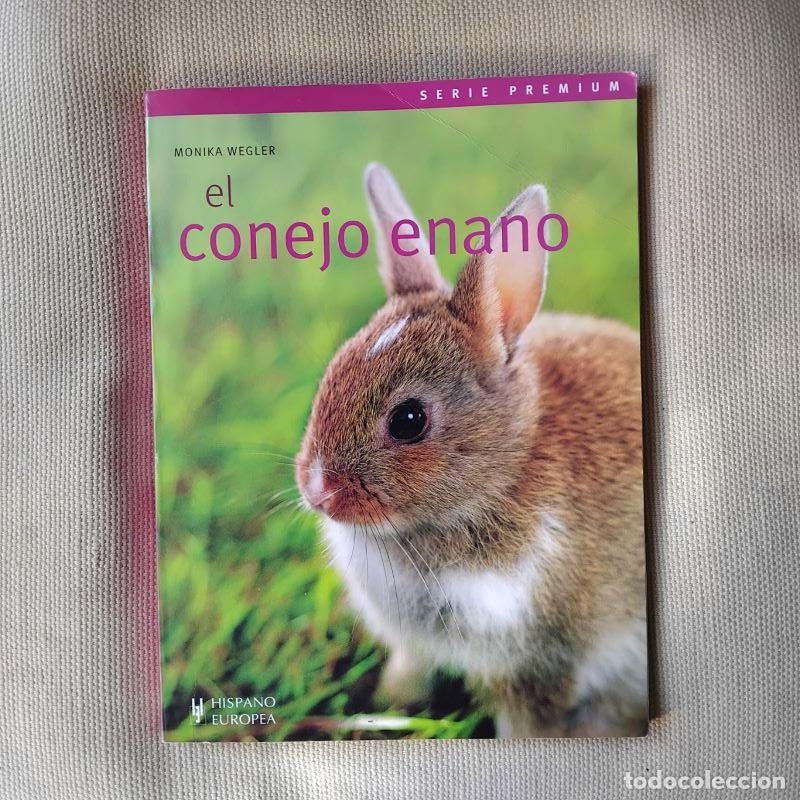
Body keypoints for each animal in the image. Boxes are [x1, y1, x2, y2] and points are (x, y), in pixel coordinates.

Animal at [295, 163, 647, 738]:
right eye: (333, 371)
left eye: (409, 420)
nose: (318, 492)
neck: (502, 477)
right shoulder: (415, 646)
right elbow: (408, 674)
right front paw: (385, 706)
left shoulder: (540, 661)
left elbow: (530, 723)